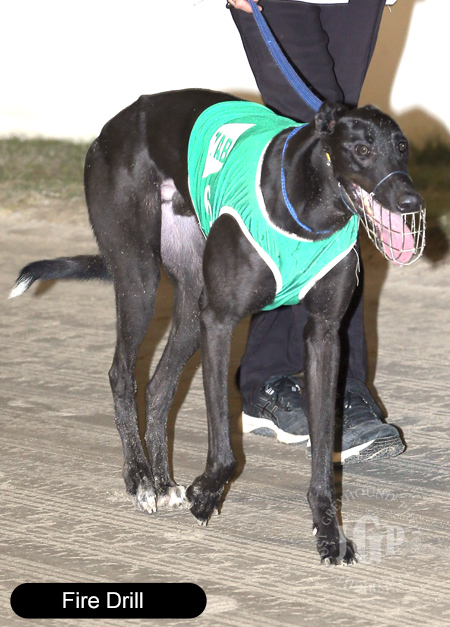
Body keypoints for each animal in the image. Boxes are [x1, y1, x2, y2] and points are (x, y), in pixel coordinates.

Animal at [10, 89, 425, 564]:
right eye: (360, 149)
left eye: (402, 147)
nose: (412, 202)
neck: (306, 207)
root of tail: (113, 125)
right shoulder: (220, 321)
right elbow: (225, 449)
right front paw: (206, 493)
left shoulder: (323, 336)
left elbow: (323, 450)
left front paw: (328, 531)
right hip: (139, 278)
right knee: (121, 373)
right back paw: (140, 478)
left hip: (190, 302)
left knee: (158, 385)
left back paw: (162, 480)